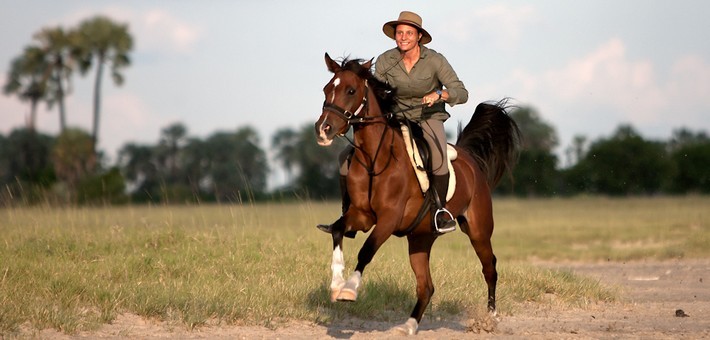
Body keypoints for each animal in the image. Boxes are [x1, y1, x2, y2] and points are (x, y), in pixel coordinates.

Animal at [314, 53, 520, 334]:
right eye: (326, 89)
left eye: (350, 90)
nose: (323, 129)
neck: (375, 159)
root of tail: (471, 159)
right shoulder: (362, 215)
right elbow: (337, 230)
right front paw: (336, 285)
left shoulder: (388, 219)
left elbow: (366, 251)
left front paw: (349, 290)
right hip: (420, 239)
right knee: (426, 286)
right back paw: (408, 326)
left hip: (478, 231)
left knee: (490, 268)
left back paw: (491, 319)